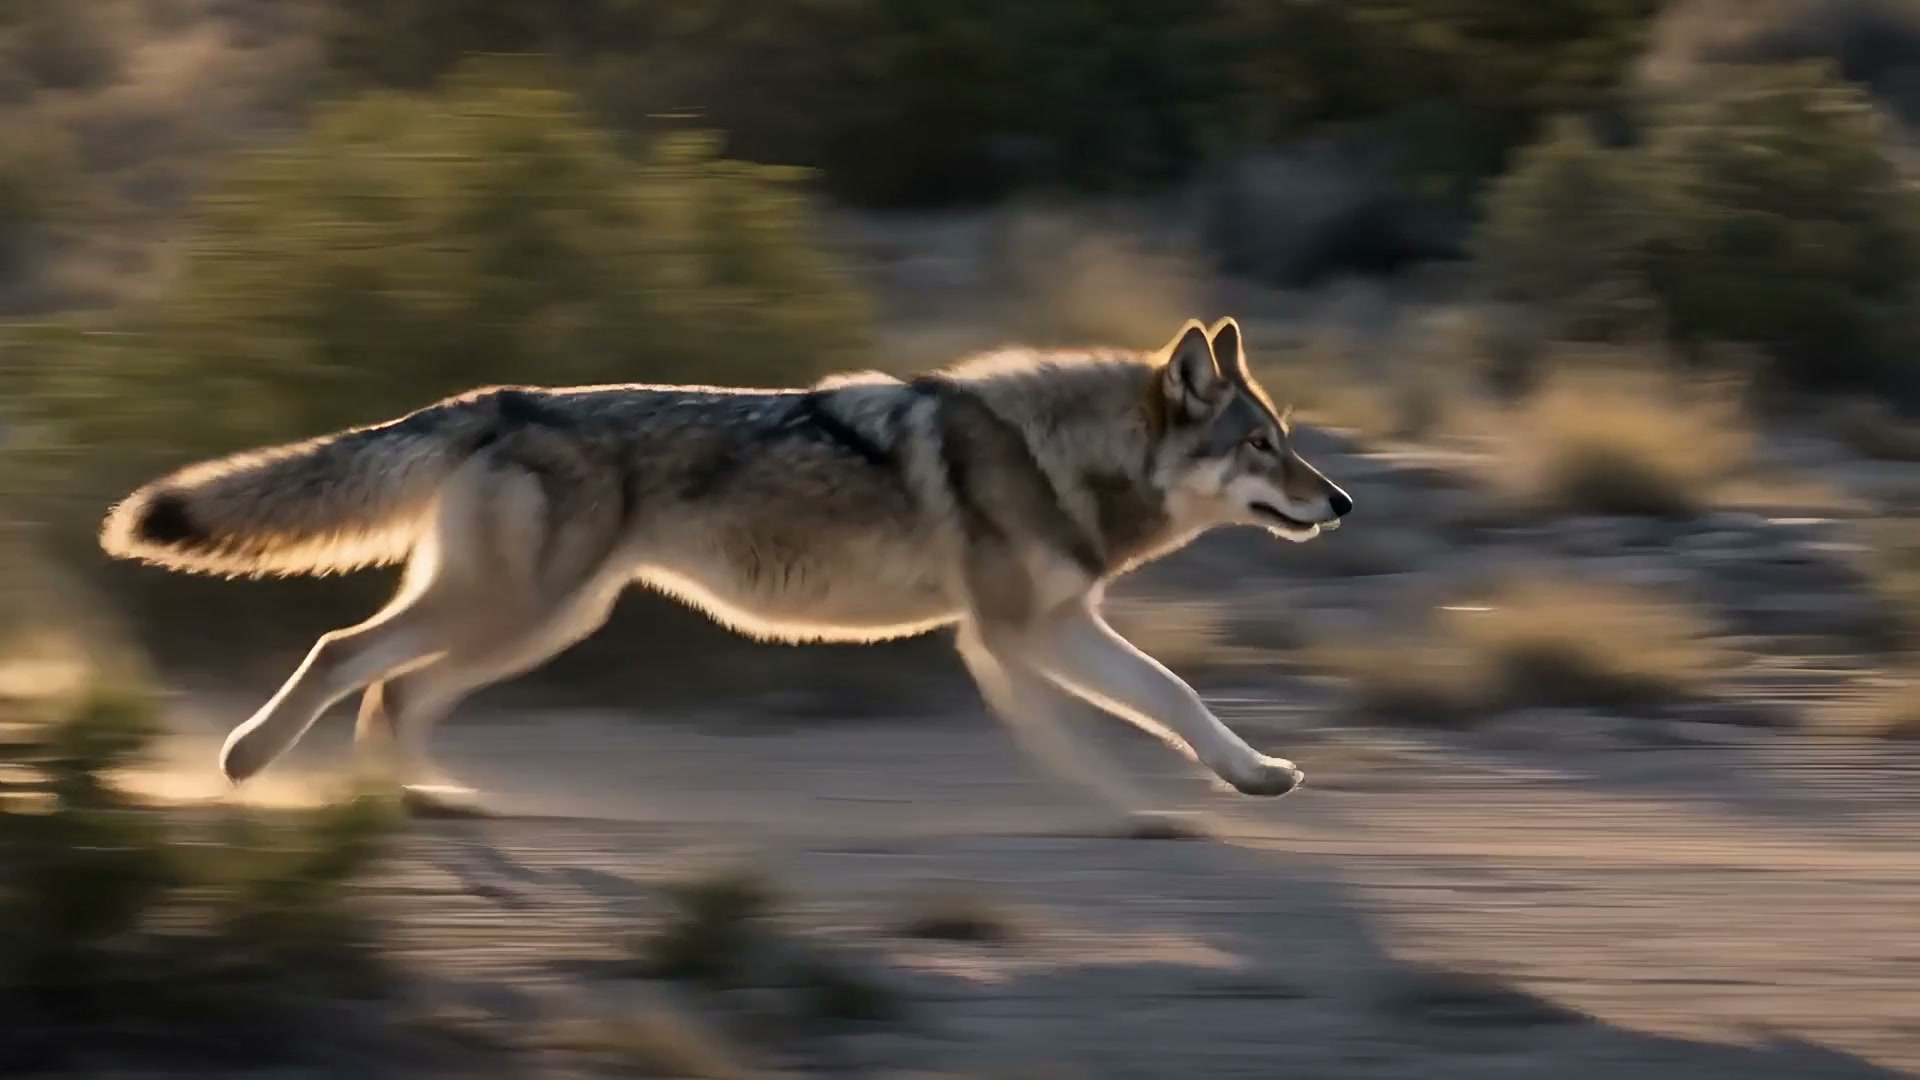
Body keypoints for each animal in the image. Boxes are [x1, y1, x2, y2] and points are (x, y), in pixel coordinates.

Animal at [99, 317, 1352, 823]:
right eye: (1262, 446)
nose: (1339, 503)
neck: (1068, 455)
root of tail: (501, 398)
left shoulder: (1046, 630)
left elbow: (1178, 701)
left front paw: (1254, 777)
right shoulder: (1016, 635)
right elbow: (1104, 728)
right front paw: (1128, 810)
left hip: (542, 622)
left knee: (391, 691)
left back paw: (420, 802)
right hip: (519, 613)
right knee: (342, 652)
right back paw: (250, 763)